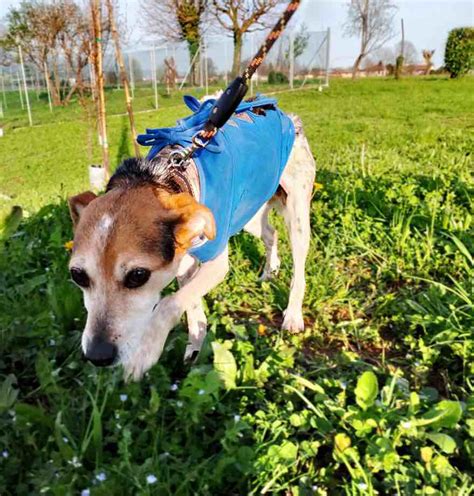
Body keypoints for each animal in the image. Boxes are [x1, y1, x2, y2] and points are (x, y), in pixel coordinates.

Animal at [67, 99, 314, 382]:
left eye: (138, 275)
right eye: (77, 276)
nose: (97, 356)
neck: (164, 178)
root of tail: (283, 113)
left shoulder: (215, 263)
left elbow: (168, 303)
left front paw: (144, 353)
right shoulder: (181, 262)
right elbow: (190, 306)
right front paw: (196, 344)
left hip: (296, 212)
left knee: (299, 269)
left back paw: (293, 314)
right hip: (246, 209)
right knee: (270, 232)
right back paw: (269, 271)